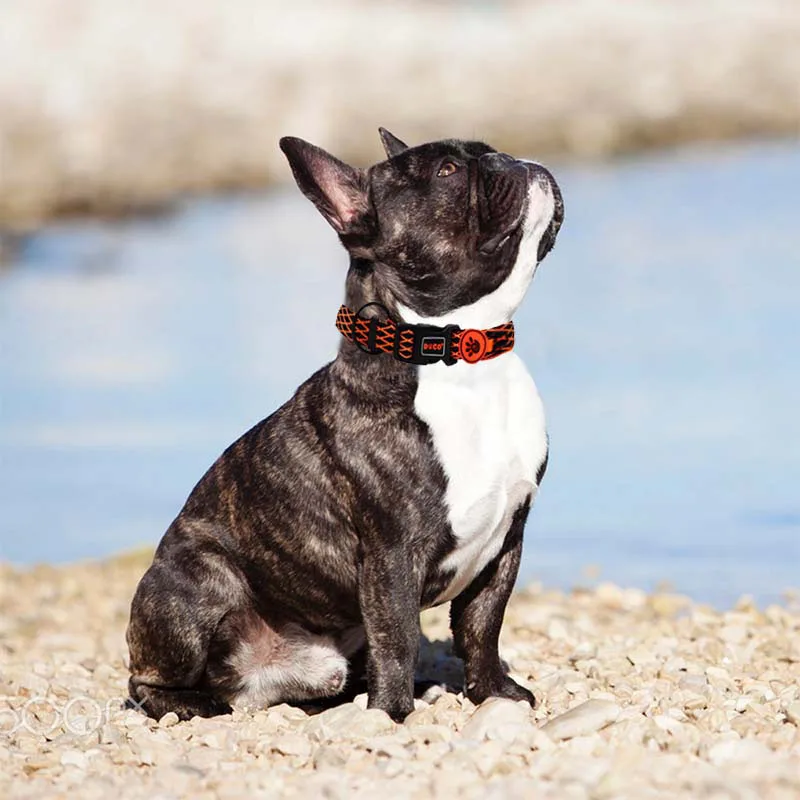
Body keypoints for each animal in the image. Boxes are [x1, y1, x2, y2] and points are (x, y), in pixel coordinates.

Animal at [125, 128, 564, 720]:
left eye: (487, 149)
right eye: (448, 171)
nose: (509, 159)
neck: (464, 360)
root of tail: (251, 683)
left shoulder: (506, 543)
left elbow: (482, 627)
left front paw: (494, 692)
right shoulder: (392, 556)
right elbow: (398, 637)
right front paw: (395, 713)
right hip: (196, 585)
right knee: (147, 680)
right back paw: (193, 705)